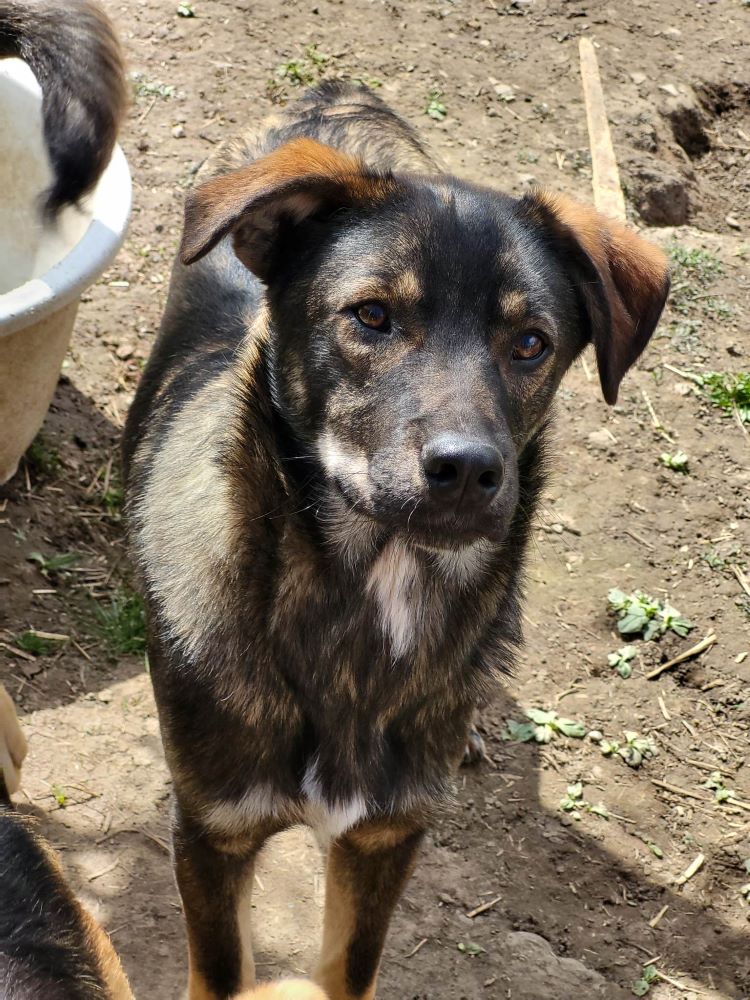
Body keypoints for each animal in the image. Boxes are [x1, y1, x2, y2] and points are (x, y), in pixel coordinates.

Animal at [123, 80, 668, 1000]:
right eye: (371, 316)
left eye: (532, 343)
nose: (467, 469)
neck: (370, 601)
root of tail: (332, 91)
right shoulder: (211, 831)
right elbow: (221, 969)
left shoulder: (384, 839)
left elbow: (351, 967)